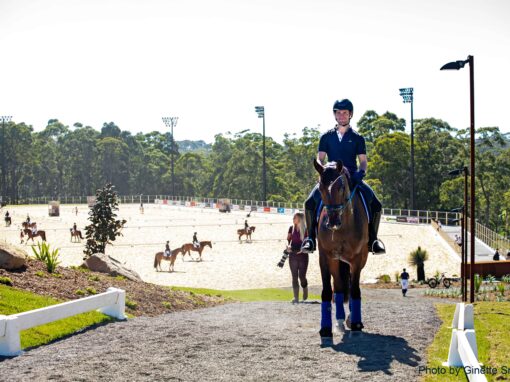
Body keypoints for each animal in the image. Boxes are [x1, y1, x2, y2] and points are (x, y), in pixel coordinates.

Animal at [312, 159, 368, 346]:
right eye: (320, 187)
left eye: (341, 187)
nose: (333, 222)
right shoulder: (325, 257)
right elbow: (327, 291)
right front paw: (325, 330)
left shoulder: (357, 259)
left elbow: (355, 290)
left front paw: (356, 325)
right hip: (336, 261)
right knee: (338, 287)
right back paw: (340, 321)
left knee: (349, 286)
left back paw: (350, 320)